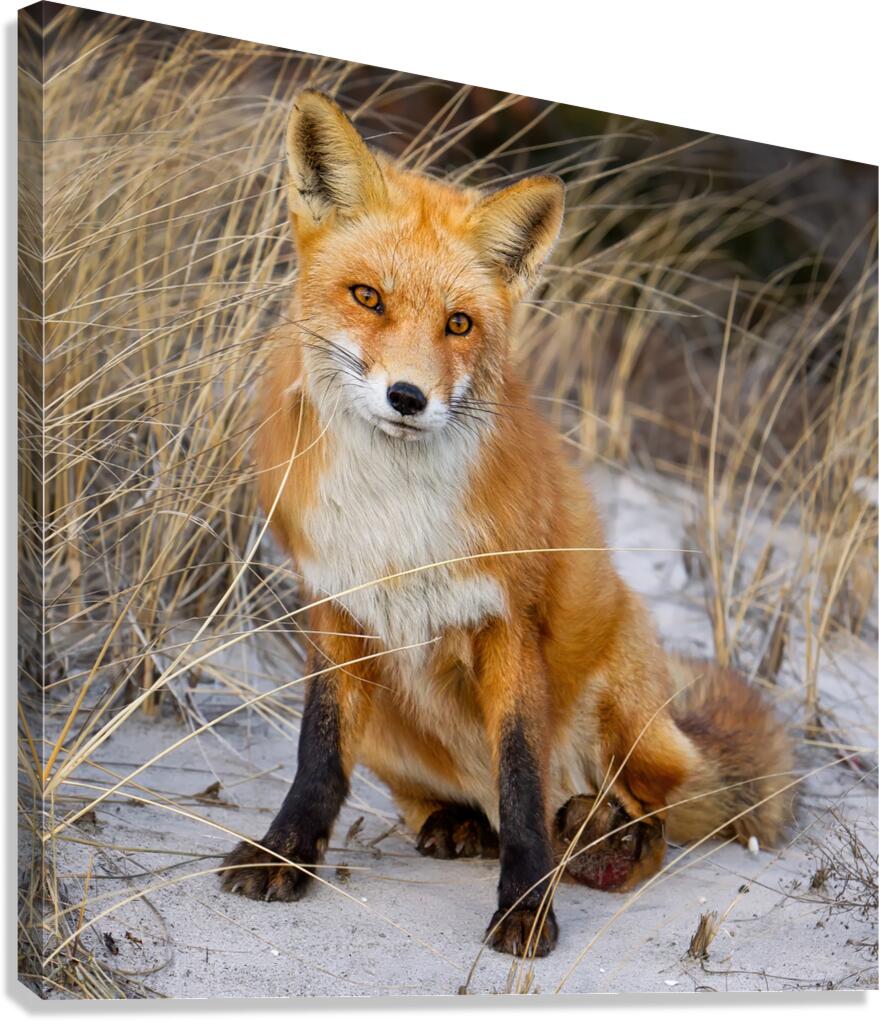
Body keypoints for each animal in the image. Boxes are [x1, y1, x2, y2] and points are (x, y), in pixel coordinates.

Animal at [221, 90, 795, 956]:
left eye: (459, 324)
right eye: (368, 297)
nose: (408, 397)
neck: (396, 517)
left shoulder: (510, 621)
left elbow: (522, 777)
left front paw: (527, 905)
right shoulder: (334, 608)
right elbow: (318, 756)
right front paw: (285, 852)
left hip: (622, 696)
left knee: (640, 814)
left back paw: (603, 842)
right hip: (386, 713)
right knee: (455, 799)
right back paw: (458, 823)